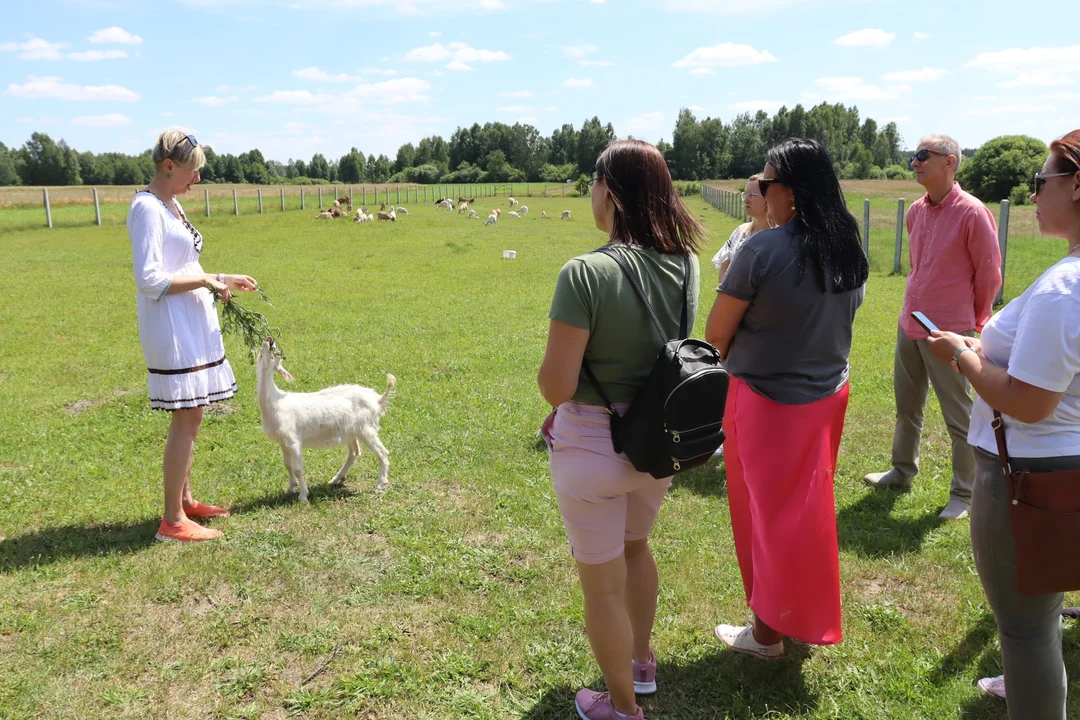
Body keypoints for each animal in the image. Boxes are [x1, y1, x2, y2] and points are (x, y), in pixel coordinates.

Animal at [254, 338, 395, 500]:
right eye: (261, 354)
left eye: (273, 356)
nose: (269, 340)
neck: (275, 402)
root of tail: (377, 400)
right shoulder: (283, 441)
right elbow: (287, 465)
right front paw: (290, 488)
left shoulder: (293, 440)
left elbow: (297, 469)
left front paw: (303, 496)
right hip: (351, 431)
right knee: (354, 452)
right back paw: (336, 479)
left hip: (366, 429)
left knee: (382, 453)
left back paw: (379, 486)